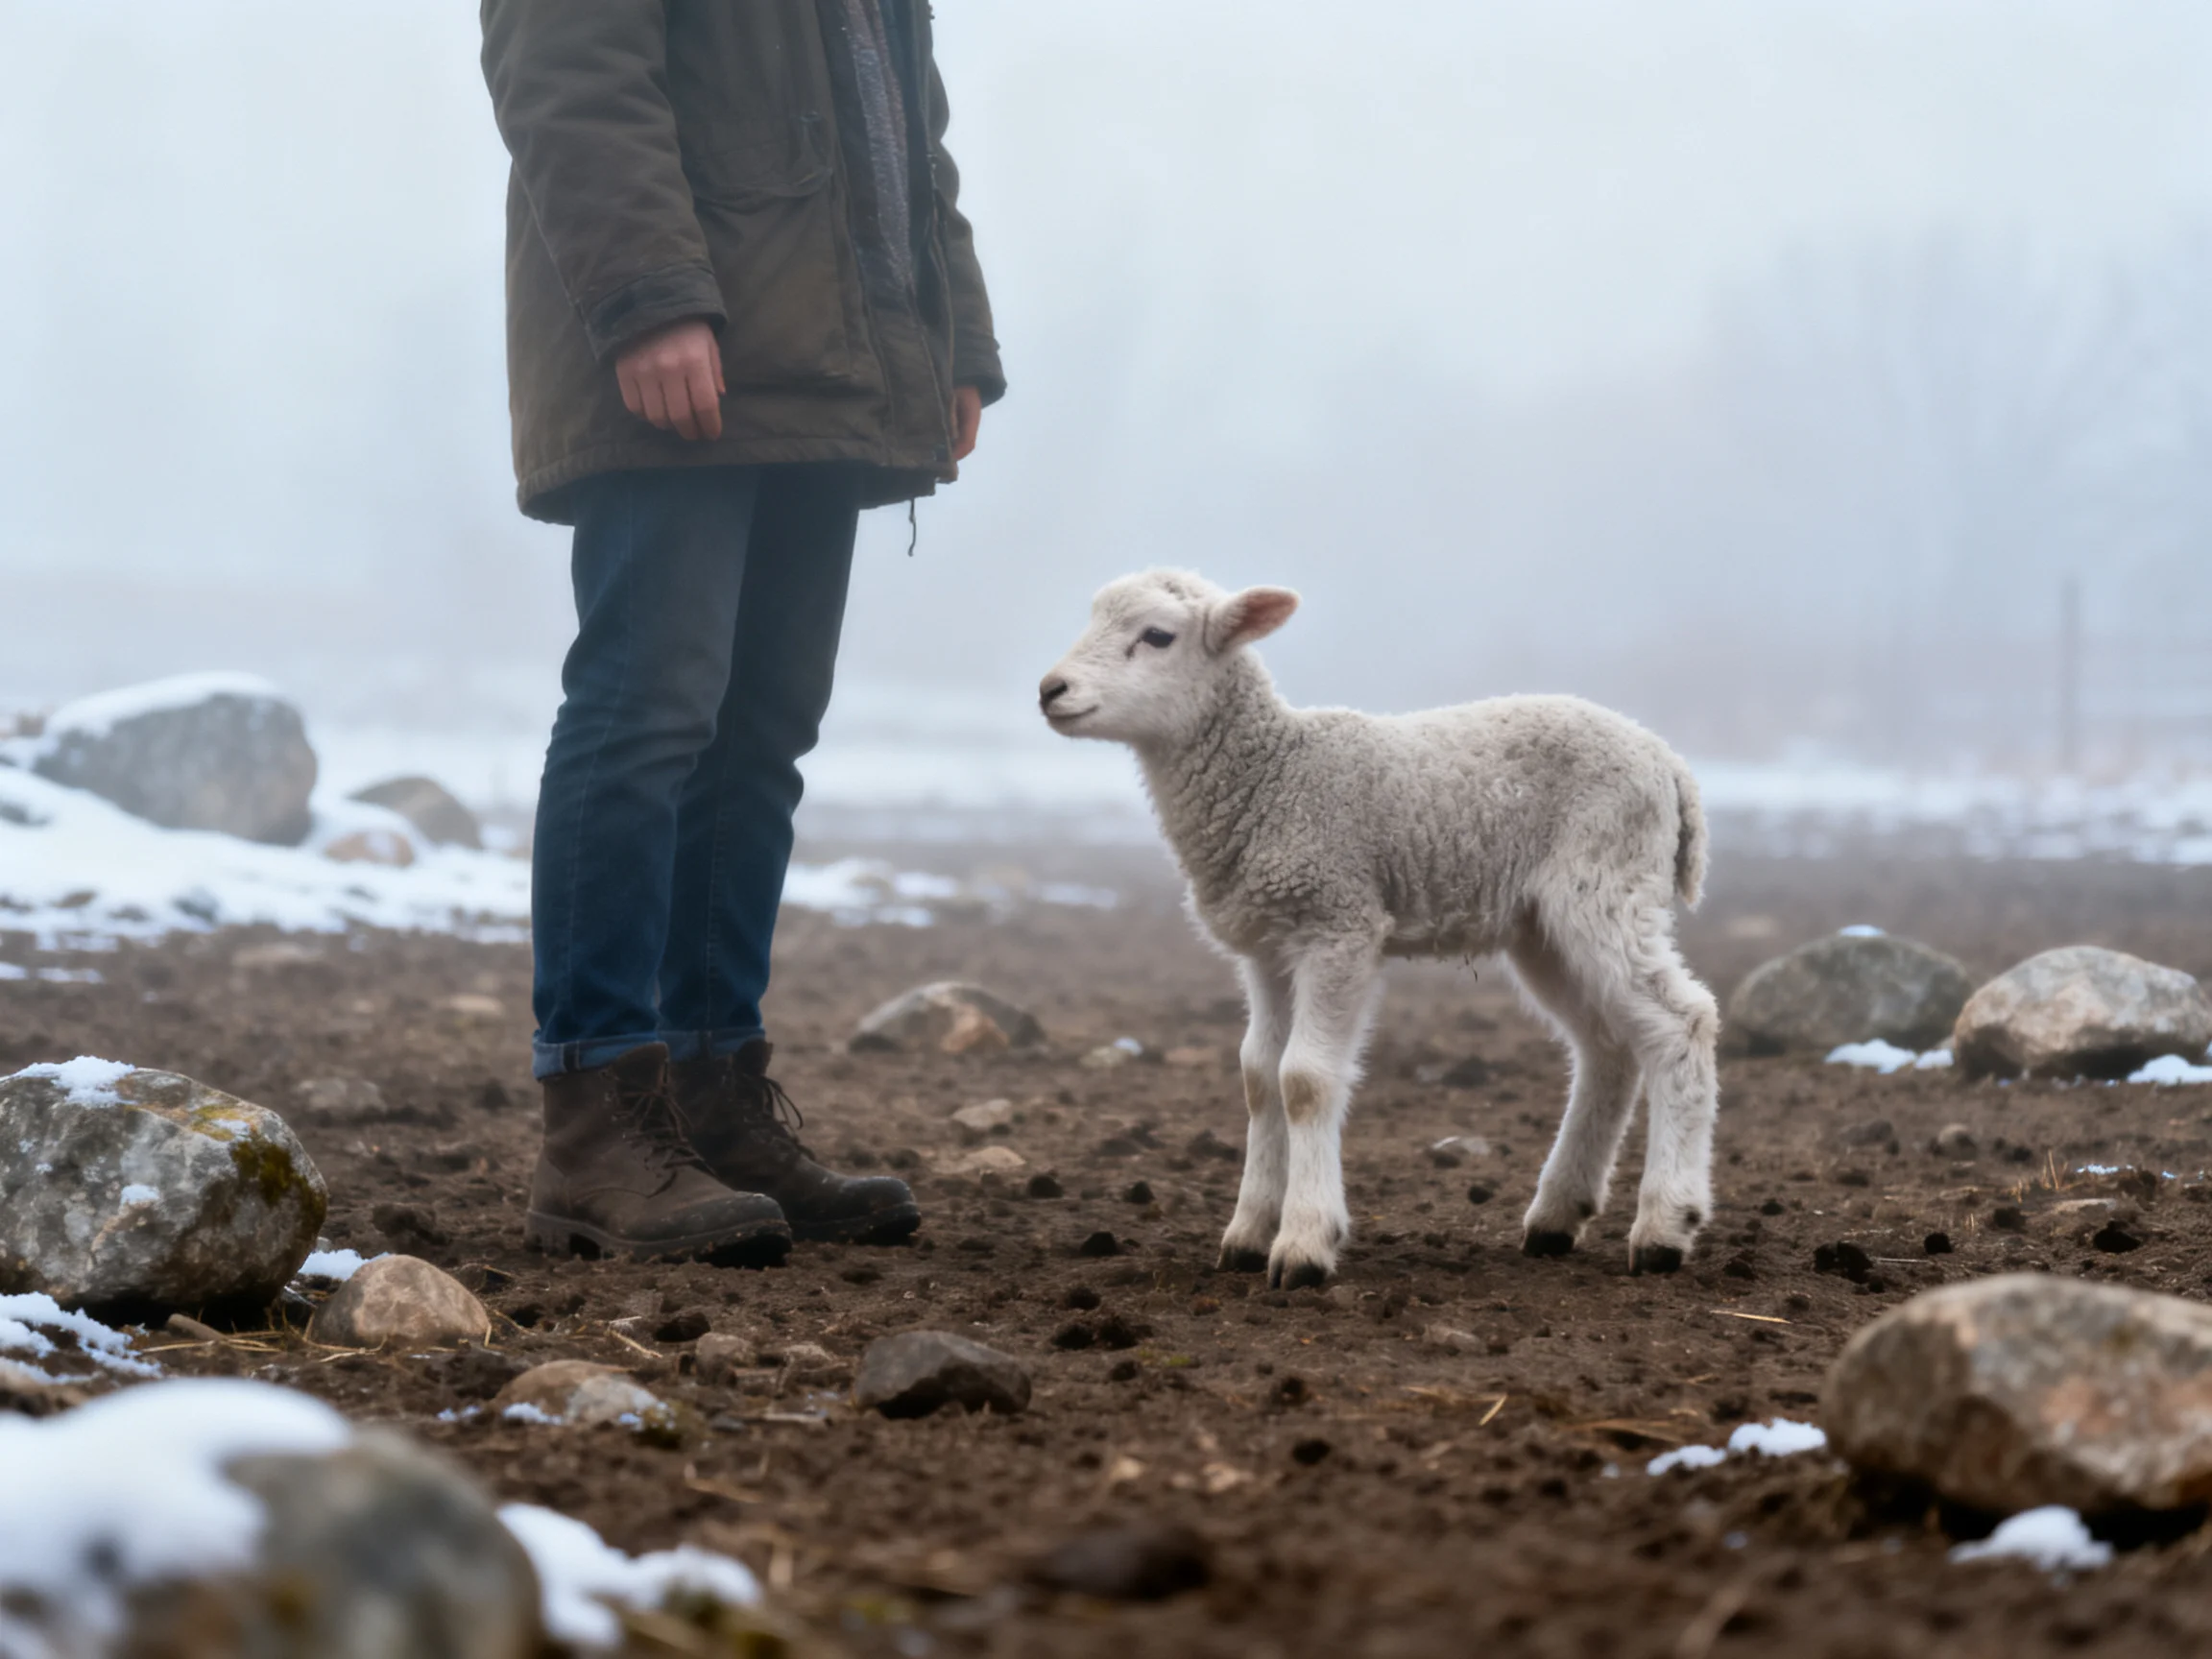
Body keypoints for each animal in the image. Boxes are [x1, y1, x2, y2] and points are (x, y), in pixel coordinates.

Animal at [1038, 569, 1719, 1288]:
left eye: (1158, 636)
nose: (1050, 690)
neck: (1272, 778)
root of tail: (1668, 761)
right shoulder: (1268, 947)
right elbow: (1259, 1077)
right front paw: (1248, 1234)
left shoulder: (1339, 922)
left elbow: (1303, 1081)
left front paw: (1304, 1243)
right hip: (1543, 929)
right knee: (1608, 1046)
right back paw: (1558, 1216)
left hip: (1606, 884)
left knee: (1682, 1022)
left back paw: (1665, 1226)